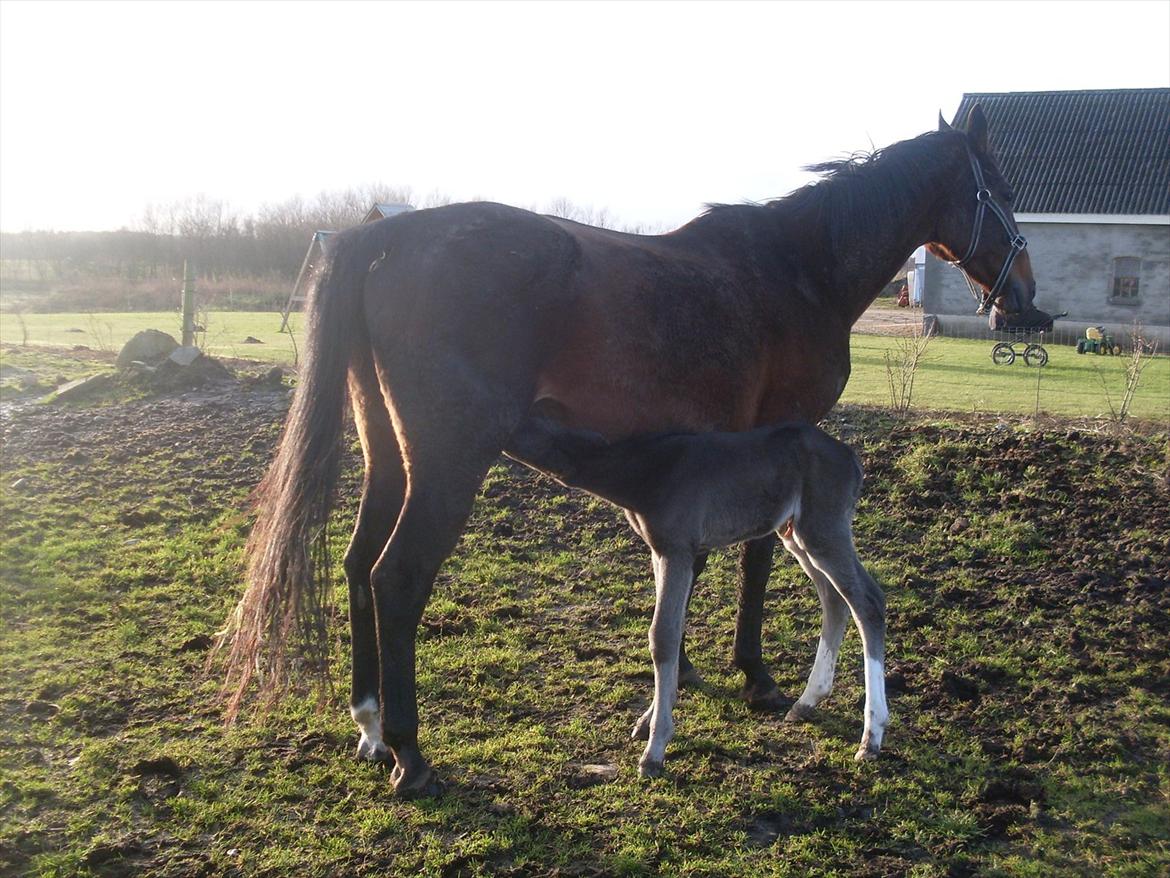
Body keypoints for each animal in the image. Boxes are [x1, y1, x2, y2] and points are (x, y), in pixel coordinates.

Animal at [510, 414, 884, 777]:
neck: (647, 468)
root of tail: (851, 457)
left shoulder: (676, 549)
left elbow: (662, 636)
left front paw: (654, 750)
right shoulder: (660, 551)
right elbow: (672, 632)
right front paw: (649, 722)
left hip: (823, 529)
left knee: (867, 601)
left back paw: (871, 738)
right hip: (796, 534)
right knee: (835, 599)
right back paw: (807, 702)